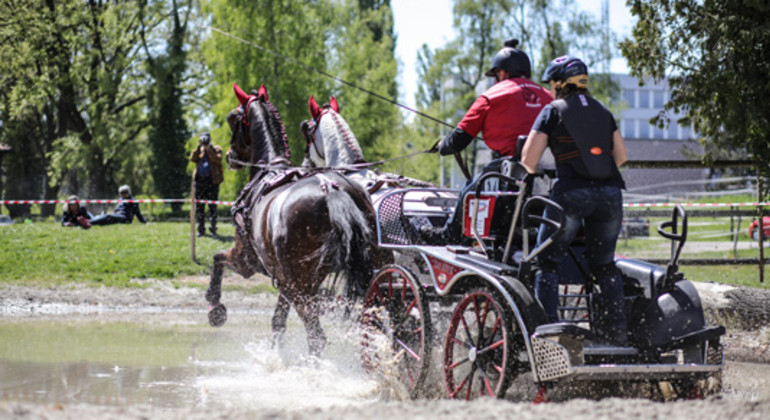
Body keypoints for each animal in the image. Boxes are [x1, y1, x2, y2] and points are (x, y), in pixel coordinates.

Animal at [206, 83, 388, 358]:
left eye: (233, 118)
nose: (228, 155)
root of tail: (329, 188)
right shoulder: (283, 279)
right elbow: (278, 322)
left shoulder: (247, 260)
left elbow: (217, 258)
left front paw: (214, 306)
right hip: (368, 273)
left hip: (299, 284)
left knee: (316, 337)